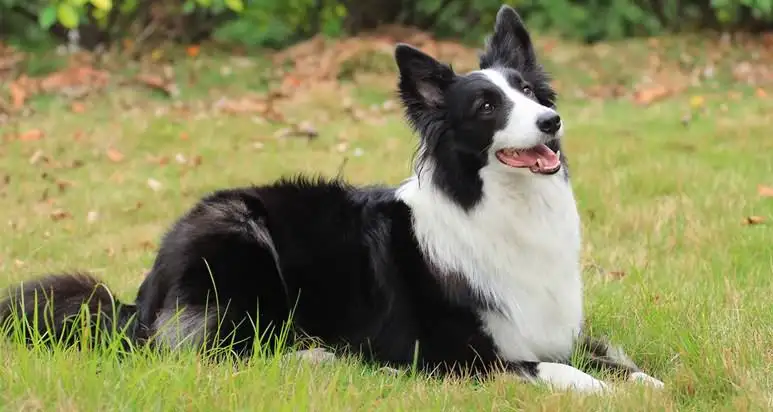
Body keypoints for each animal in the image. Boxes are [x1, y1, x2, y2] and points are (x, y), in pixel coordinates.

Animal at [1, 5, 664, 392]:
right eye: (486, 106)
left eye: (529, 92)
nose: (552, 122)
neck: (500, 207)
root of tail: (138, 300)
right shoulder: (451, 351)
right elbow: (555, 370)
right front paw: (603, 391)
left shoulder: (555, 327)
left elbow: (616, 359)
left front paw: (650, 382)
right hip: (239, 233)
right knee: (214, 350)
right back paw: (316, 357)